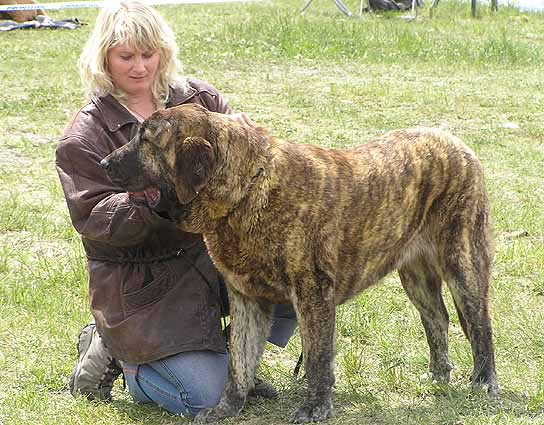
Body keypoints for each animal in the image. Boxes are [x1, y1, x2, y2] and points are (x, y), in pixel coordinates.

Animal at [102, 102, 498, 420]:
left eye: (147, 141)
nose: (104, 163)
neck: (248, 190)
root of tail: (457, 144)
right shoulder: (246, 299)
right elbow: (238, 365)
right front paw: (226, 410)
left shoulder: (313, 295)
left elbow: (317, 358)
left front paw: (315, 408)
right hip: (414, 275)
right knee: (437, 319)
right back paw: (438, 376)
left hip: (463, 263)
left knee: (480, 325)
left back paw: (483, 382)